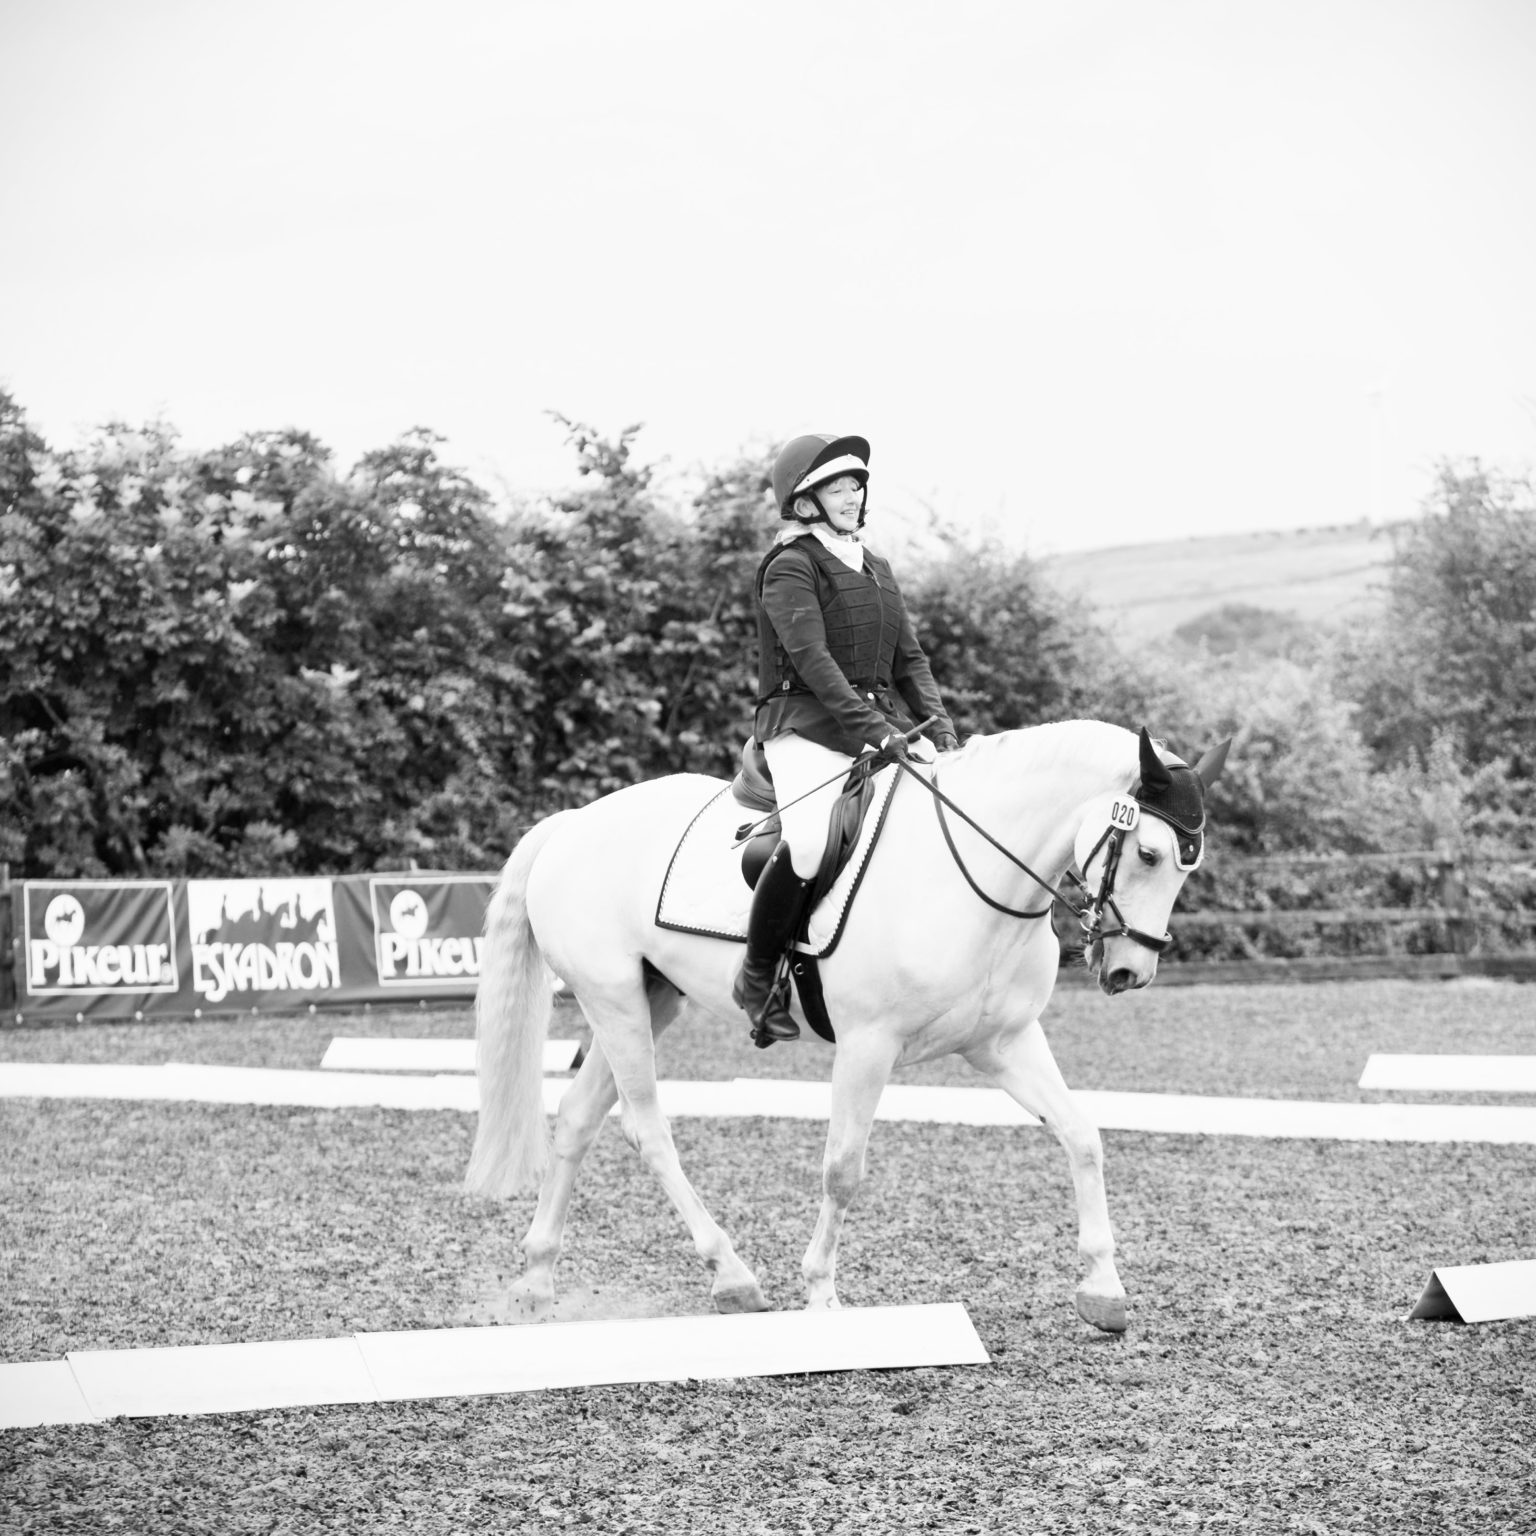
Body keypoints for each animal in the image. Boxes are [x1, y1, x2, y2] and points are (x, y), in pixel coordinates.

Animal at [460, 718, 1228, 1333]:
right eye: (1149, 854)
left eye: (1188, 865)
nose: (1130, 972)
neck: (972, 877)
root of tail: (575, 822)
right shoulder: (868, 1046)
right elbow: (842, 1170)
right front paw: (823, 1298)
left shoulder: (1003, 1044)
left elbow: (1083, 1136)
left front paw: (1104, 1289)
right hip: (613, 997)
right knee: (646, 1128)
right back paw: (732, 1275)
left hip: (653, 997)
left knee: (577, 1119)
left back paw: (536, 1280)